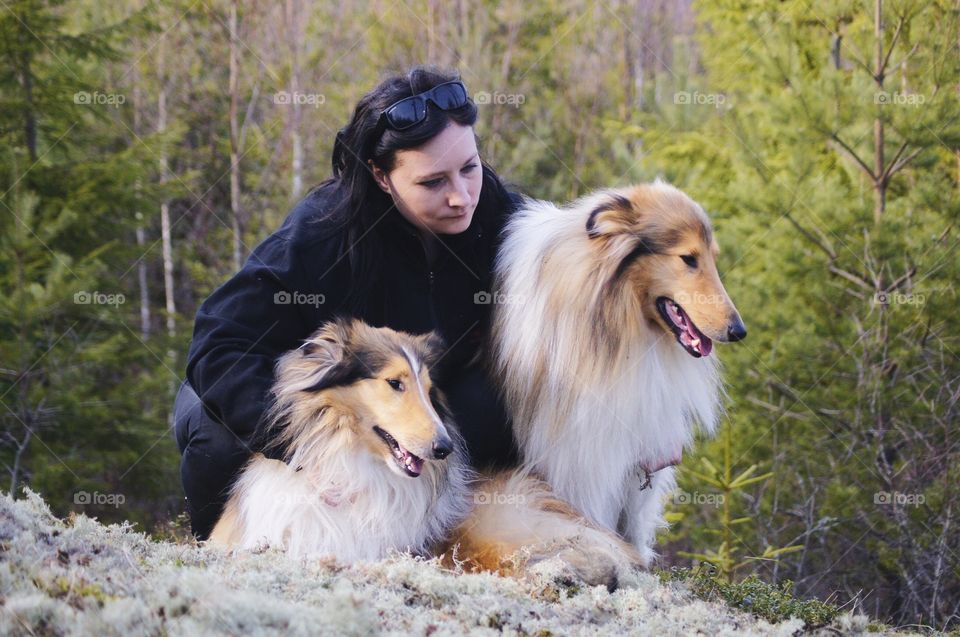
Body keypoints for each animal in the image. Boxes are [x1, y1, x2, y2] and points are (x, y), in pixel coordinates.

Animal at [492, 179, 748, 568]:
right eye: (688, 259)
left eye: (712, 258)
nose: (738, 331)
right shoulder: (577, 448)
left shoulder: (637, 450)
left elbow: (635, 521)